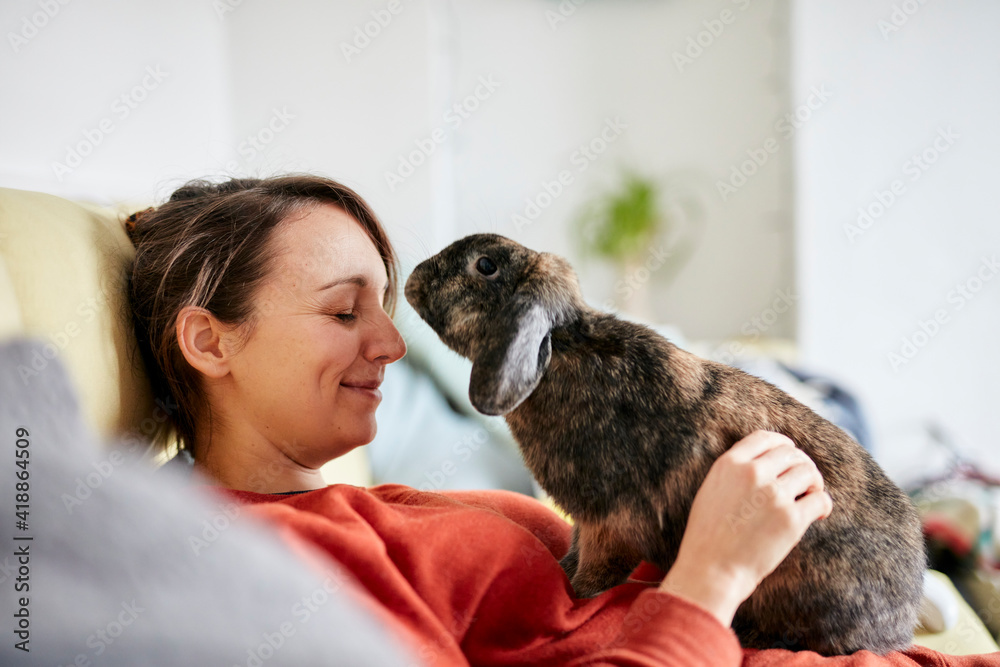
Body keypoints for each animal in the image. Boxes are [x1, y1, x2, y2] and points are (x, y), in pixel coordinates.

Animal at [403, 233, 926, 656]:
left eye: (485, 265)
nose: (412, 280)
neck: (564, 348)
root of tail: (900, 624)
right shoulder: (587, 524)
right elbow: (574, 550)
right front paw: (562, 572)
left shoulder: (610, 523)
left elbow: (595, 572)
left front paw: (573, 594)